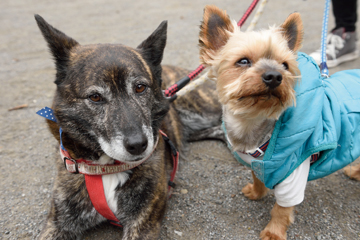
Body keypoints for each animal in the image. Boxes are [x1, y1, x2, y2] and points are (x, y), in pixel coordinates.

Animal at [35, 14, 222, 239]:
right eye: (95, 97)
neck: (106, 167)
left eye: (140, 87)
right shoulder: (58, 223)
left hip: (206, 108)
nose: (138, 145)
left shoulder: (143, 222)